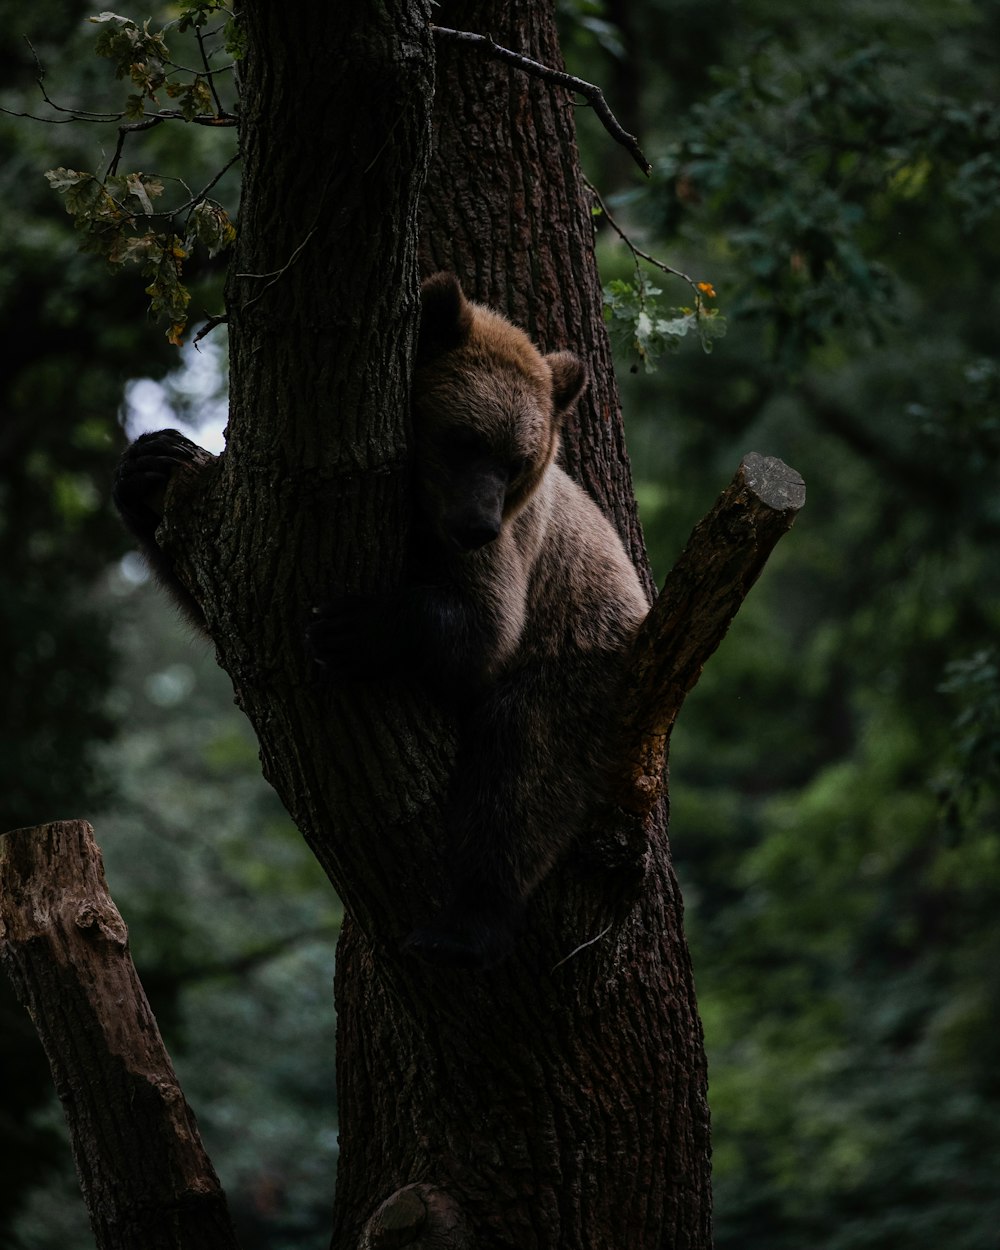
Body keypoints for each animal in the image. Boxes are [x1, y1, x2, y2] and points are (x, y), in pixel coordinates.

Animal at [115, 278, 650, 970]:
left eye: (515, 460)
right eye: (465, 440)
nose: (478, 525)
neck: (424, 511)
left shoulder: (510, 557)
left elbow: (484, 627)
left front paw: (349, 629)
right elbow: (223, 594)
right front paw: (148, 465)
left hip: (582, 667)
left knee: (520, 773)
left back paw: (464, 926)